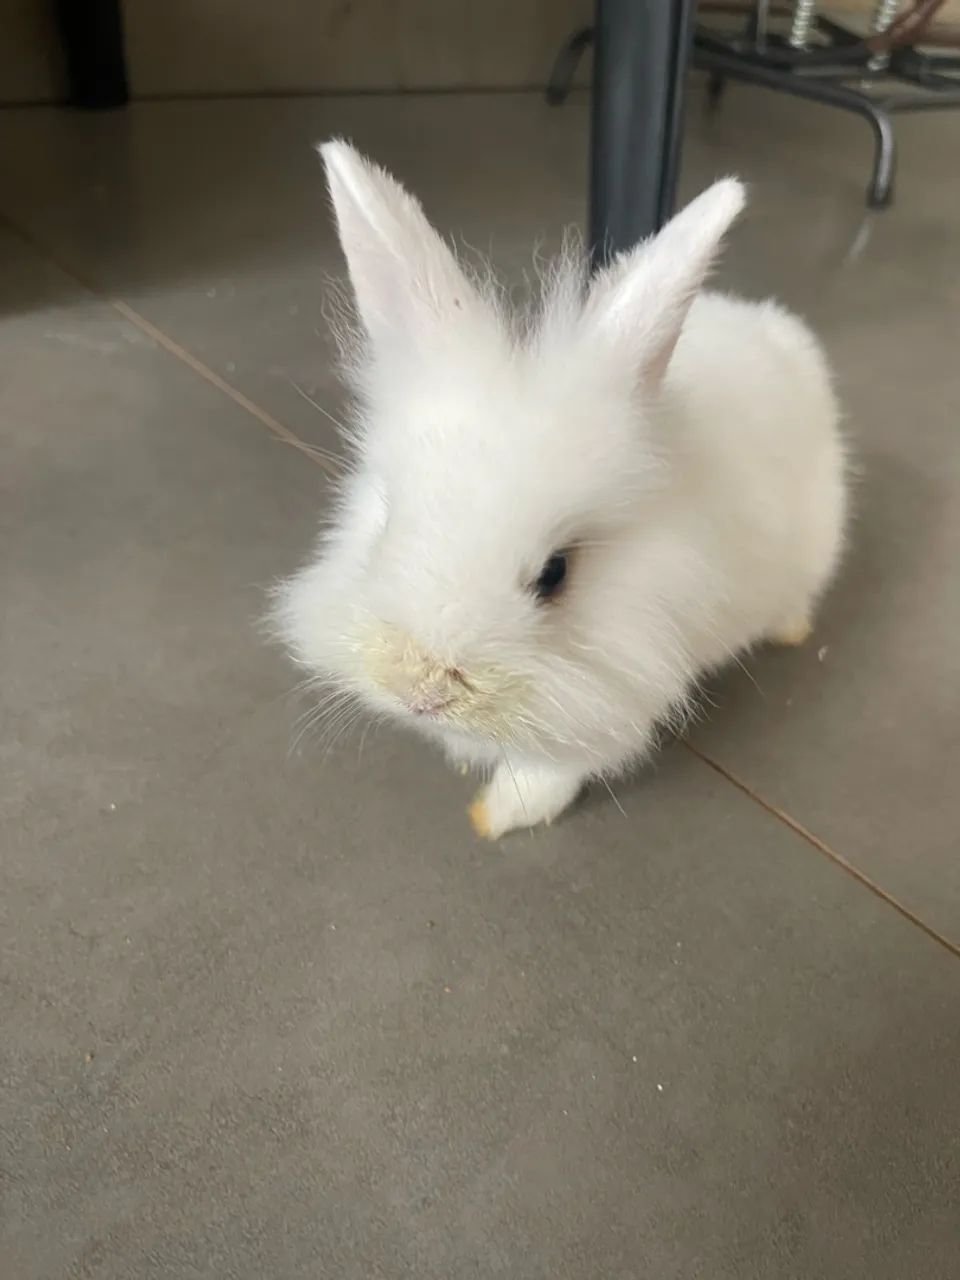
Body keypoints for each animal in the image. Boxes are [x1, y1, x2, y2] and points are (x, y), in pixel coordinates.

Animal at [272, 141, 847, 840]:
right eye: (385, 528)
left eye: (555, 574)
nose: (423, 692)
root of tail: (784, 331)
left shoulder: (611, 695)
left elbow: (548, 774)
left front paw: (494, 816)